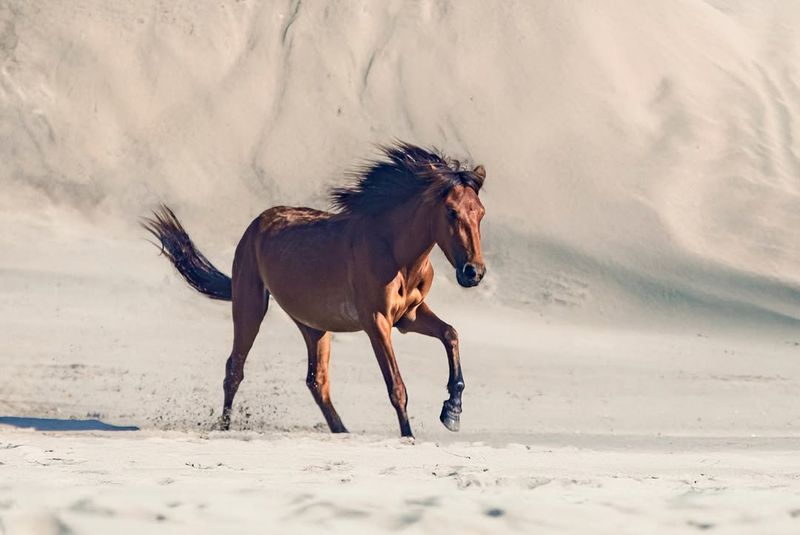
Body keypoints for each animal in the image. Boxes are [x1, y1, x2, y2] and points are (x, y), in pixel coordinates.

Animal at [141, 143, 484, 440]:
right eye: (452, 212)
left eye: (480, 212)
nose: (473, 272)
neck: (395, 253)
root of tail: (256, 223)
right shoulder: (377, 322)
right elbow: (397, 387)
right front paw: (409, 436)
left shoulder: (408, 317)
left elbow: (451, 334)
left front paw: (452, 411)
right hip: (250, 307)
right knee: (234, 370)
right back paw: (224, 429)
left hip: (314, 326)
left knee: (316, 381)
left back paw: (342, 432)